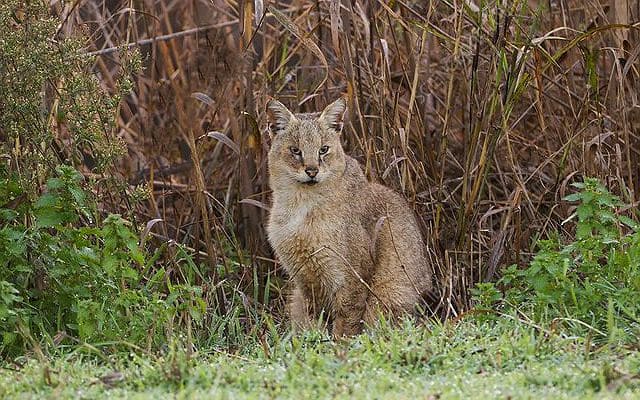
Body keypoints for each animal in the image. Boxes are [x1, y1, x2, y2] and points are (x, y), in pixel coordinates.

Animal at [264, 97, 430, 338]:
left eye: (323, 149)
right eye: (295, 150)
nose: (312, 171)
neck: (300, 206)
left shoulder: (350, 277)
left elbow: (346, 323)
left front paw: (339, 345)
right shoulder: (305, 279)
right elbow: (317, 320)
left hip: (389, 294)